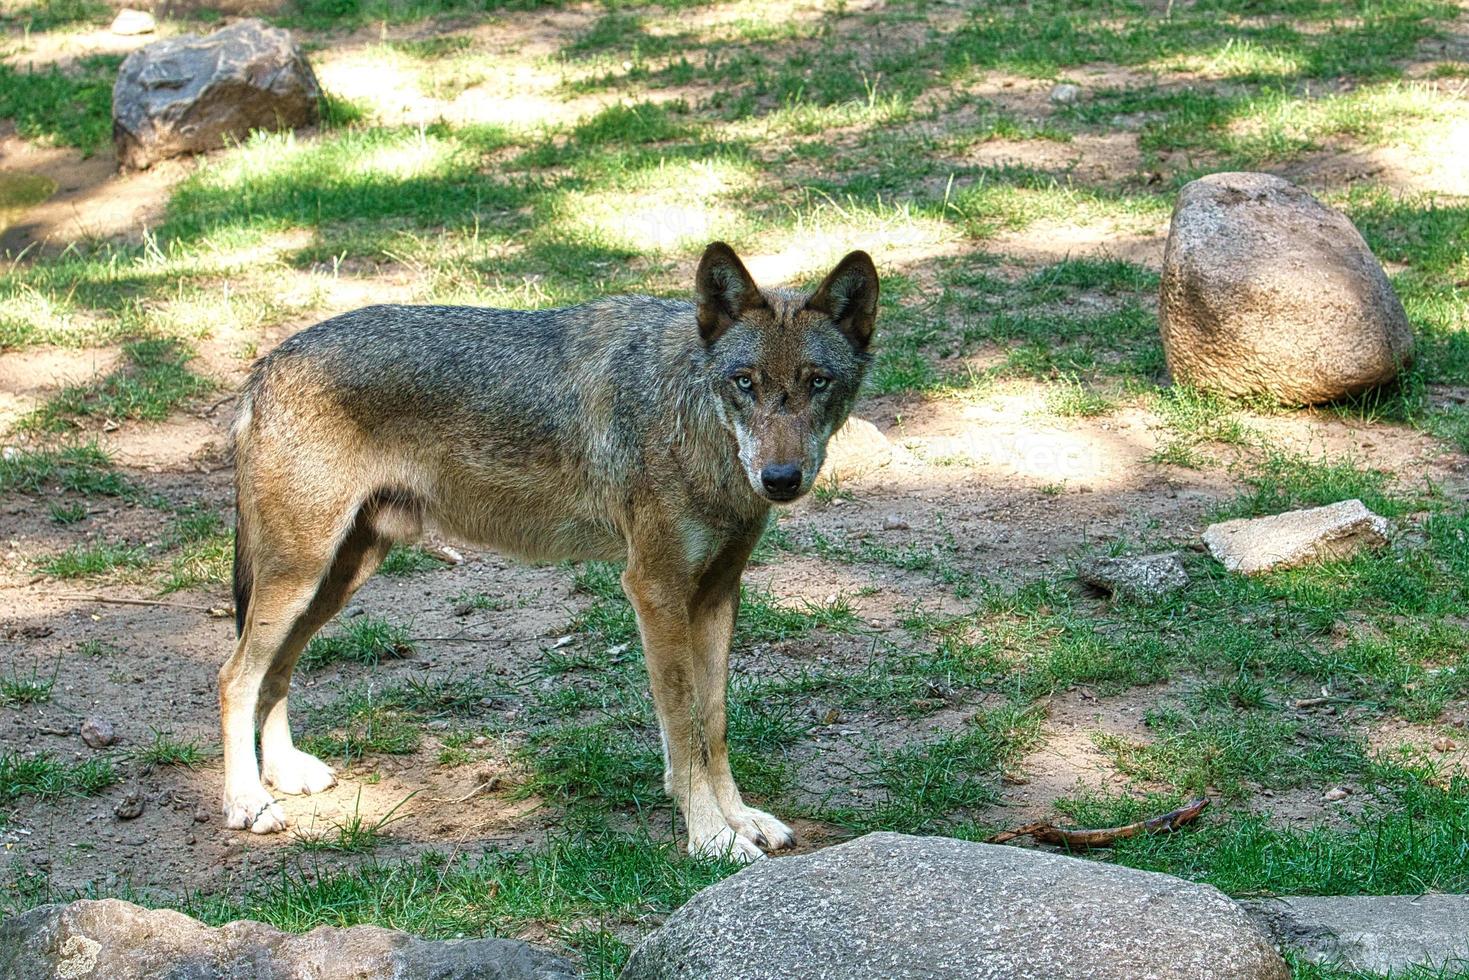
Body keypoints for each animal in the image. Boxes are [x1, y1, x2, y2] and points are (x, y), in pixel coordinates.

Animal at [223, 240, 875, 863]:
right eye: (745, 382)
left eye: (817, 381)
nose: (781, 479)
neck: (692, 418)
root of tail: (267, 365)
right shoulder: (655, 591)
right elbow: (684, 730)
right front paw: (712, 839)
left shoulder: (717, 594)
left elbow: (711, 727)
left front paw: (742, 820)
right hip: (299, 576)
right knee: (235, 677)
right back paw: (248, 802)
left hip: (332, 581)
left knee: (274, 673)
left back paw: (284, 774)